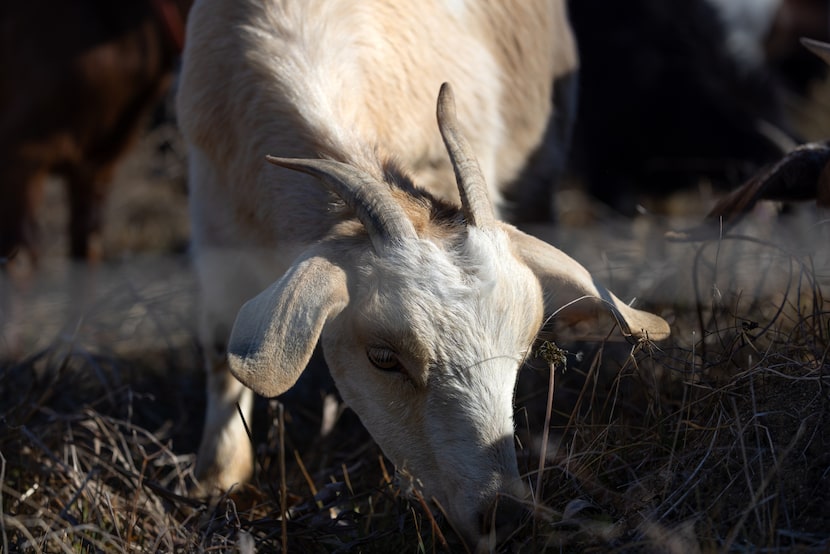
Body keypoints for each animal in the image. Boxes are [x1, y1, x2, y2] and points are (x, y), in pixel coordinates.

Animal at [176, 0, 668, 546]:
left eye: (520, 355)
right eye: (383, 358)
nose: (504, 516)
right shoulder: (213, 212)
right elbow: (217, 348)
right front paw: (215, 478)